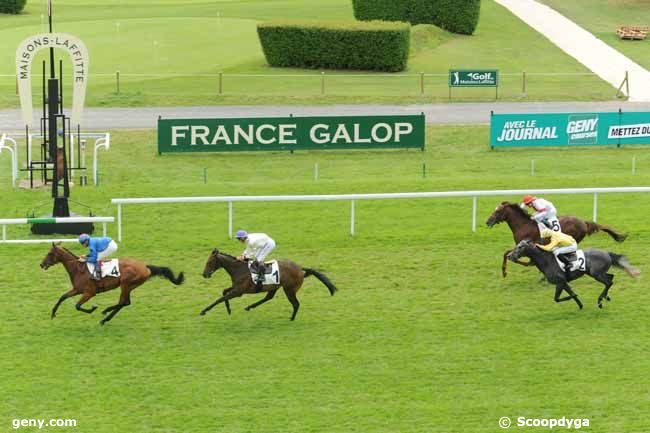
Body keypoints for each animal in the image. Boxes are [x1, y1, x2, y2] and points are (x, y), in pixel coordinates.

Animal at [39, 243, 185, 324]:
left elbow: (77, 306)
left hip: (125, 284)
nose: (41, 264)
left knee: (123, 302)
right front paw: (53, 313)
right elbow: (63, 297)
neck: (78, 269)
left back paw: (105, 312)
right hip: (130, 286)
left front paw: (93, 308)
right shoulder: (77, 289)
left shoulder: (89, 292)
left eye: (50, 253)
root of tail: (145, 266)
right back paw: (105, 318)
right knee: (125, 302)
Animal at [200, 246, 336, 320]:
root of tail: (300, 269)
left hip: (289, 289)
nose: (204, 274)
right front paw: (228, 310)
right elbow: (223, 293)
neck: (239, 269)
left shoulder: (238, 292)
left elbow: (220, 299)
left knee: (296, 304)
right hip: (275, 286)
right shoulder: (235, 288)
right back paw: (249, 307)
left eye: (209, 262)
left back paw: (291, 319)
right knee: (268, 297)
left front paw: (204, 311)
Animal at [484, 202, 624, 276]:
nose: (488, 221)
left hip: (573, 239)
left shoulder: (529, 245)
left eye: (497, 211)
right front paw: (504, 271)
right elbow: (506, 253)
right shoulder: (520, 245)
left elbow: (526, 260)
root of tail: (583, 222)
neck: (523, 225)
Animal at [506, 240, 636, 308]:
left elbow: (559, 298)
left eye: (520, 247)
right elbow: (566, 295)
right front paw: (580, 305)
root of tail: (607, 253)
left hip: (596, 274)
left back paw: (600, 301)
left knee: (609, 282)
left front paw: (574, 299)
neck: (547, 261)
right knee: (611, 278)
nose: (509, 256)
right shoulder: (562, 283)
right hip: (596, 273)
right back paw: (606, 297)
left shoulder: (560, 282)